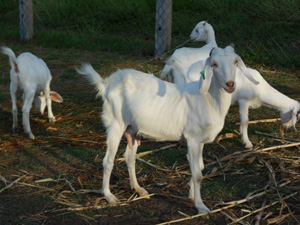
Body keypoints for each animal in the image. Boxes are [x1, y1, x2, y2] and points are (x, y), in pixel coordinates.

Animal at [76, 45, 258, 213]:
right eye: (214, 64)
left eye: (235, 62)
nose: (230, 84)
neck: (209, 99)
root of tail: (107, 82)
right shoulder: (193, 138)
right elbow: (197, 174)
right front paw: (201, 206)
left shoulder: (200, 140)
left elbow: (199, 167)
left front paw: (191, 195)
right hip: (115, 122)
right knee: (108, 160)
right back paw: (109, 195)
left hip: (132, 128)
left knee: (129, 157)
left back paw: (139, 189)